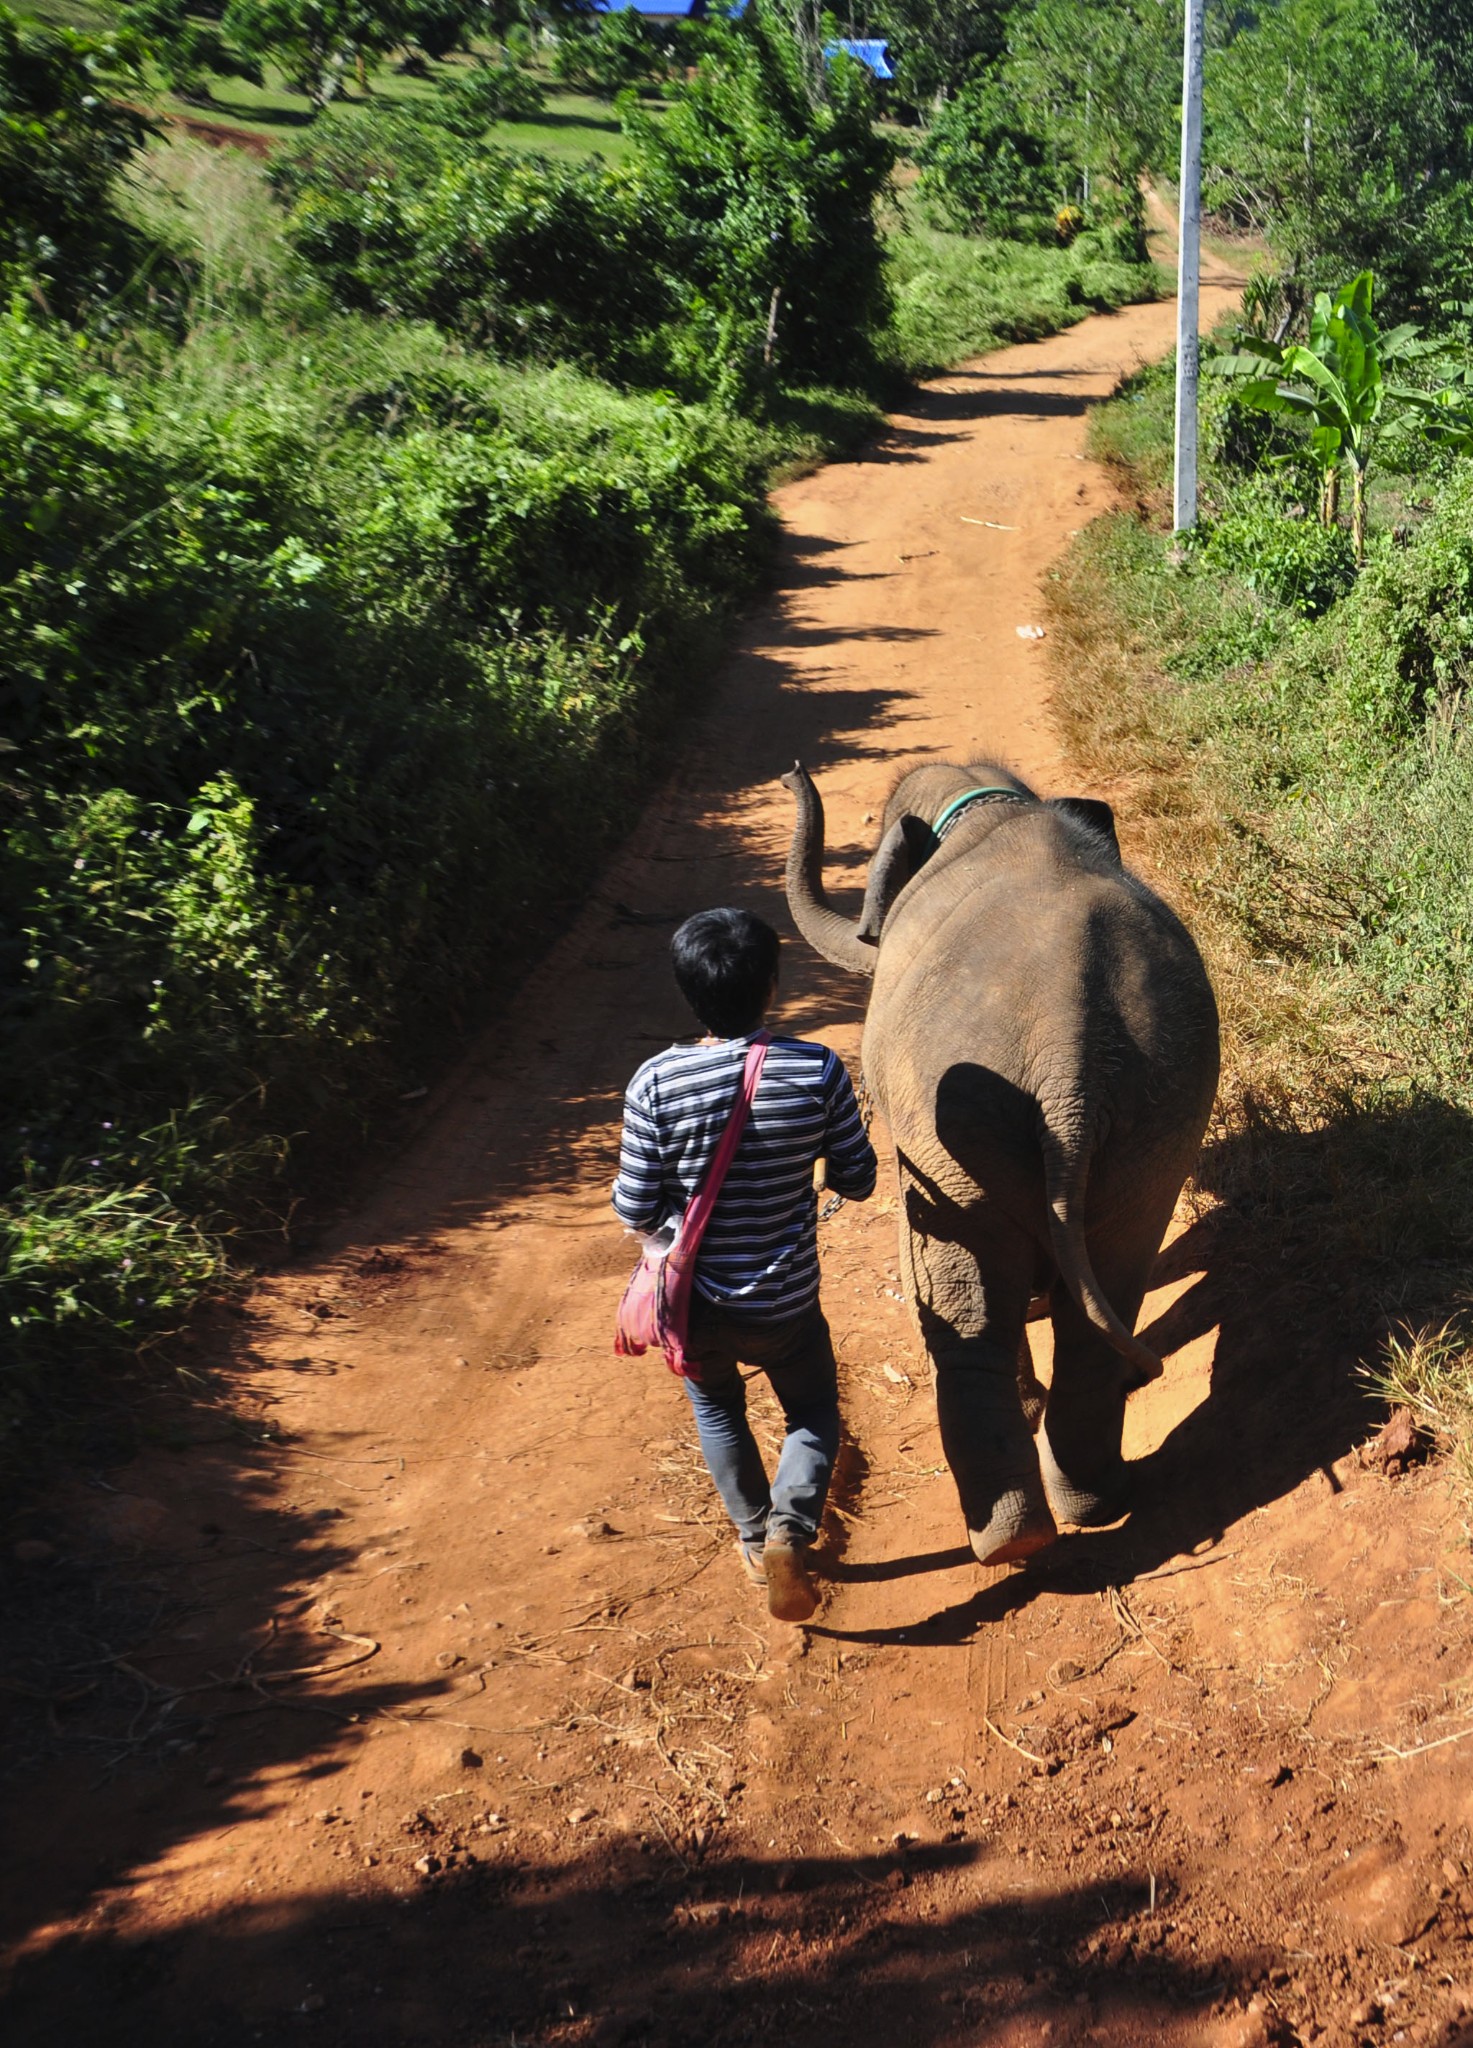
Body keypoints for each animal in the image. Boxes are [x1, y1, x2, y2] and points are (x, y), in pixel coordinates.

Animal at [782, 761, 1221, 1556]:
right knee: (1109, 1288)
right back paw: (1094, 1502)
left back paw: (1011, 1539)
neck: (986, 797)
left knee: (966, 1306)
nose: (790, 772)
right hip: (1154, 1119)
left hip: (962, 1131)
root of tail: (1067, 1053)